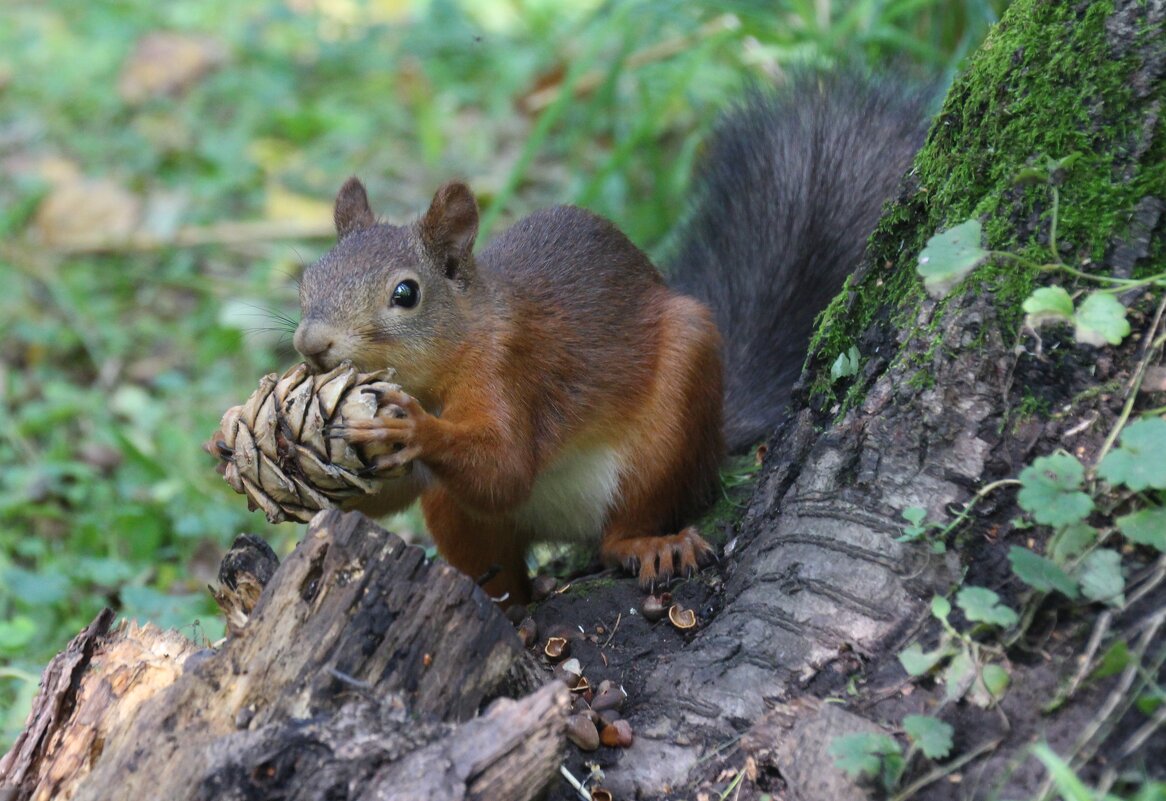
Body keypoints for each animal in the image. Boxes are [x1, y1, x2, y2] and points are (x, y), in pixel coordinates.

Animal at [291, 71, 928, 606]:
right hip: (460, 517)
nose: (310, 345)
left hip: (672, 423)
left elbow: (505, 467)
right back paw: (514, 605)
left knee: (625, 527)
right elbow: (405, 493)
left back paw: (649, 545)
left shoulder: (514, 369)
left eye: (406, 294)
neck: (455, 346)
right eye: (308, 278)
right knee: (498, 566)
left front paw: (412, 426)